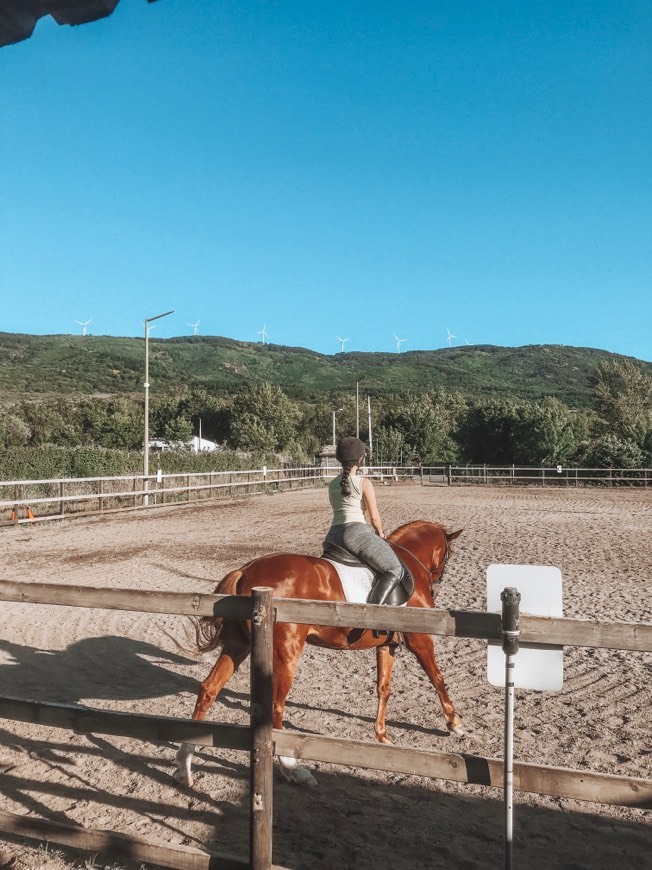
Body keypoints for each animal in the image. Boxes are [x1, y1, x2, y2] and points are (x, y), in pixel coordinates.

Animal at [174, 520, 464, 792]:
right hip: (286, 654)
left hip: (238, 646)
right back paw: (293, 769)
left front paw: (382, 735)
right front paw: (454, 722)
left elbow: (384, 688)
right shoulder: (420, 640)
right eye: (448, 555)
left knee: (209, 688)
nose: (436, 584)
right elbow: (437, 678)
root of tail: (246, 570)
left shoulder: (387, 645)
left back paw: (184, 763)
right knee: (275, 708)